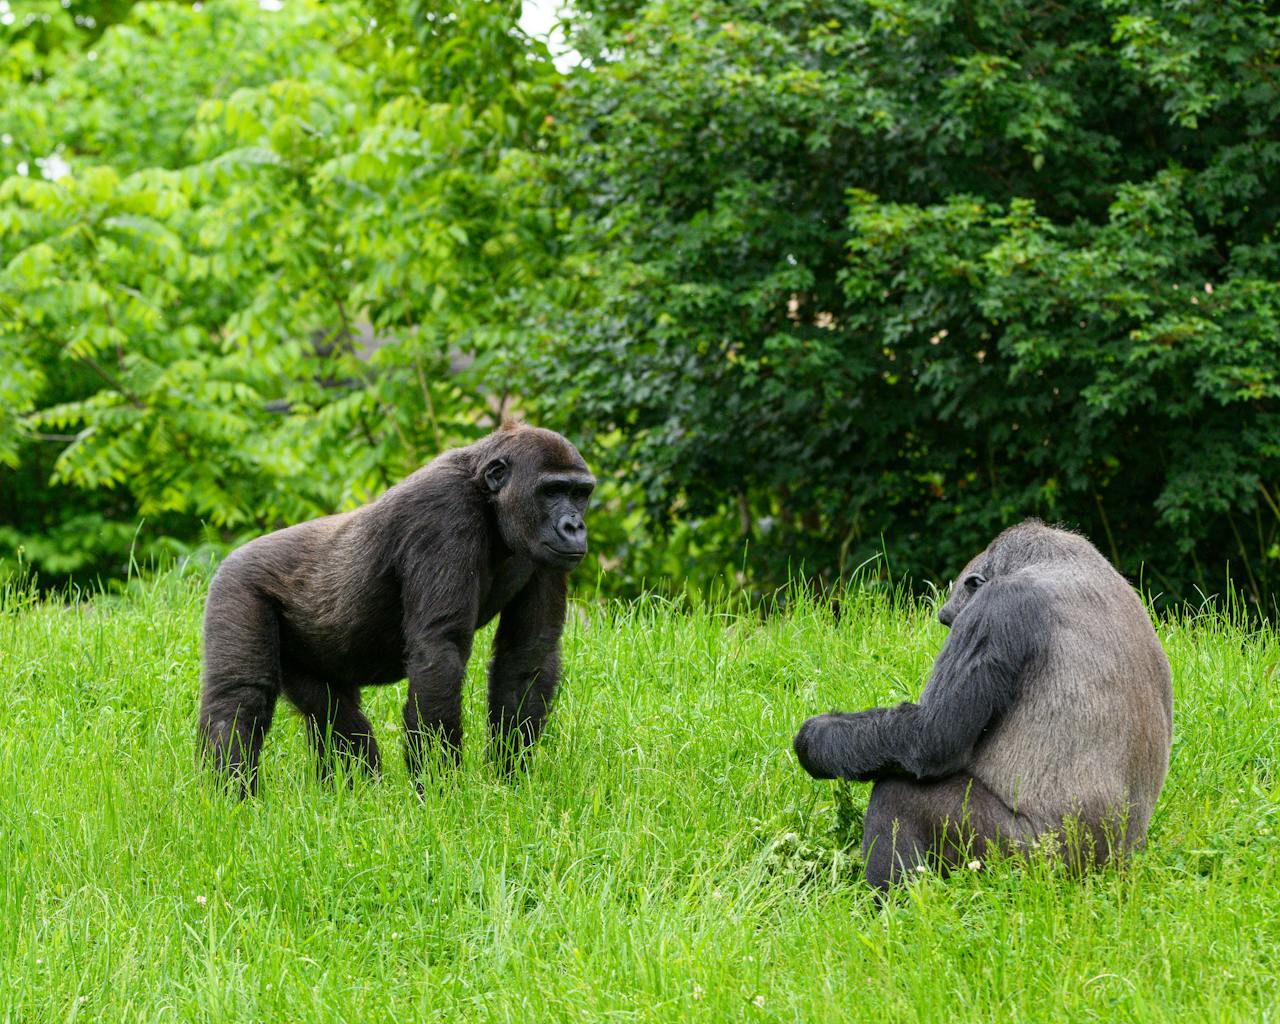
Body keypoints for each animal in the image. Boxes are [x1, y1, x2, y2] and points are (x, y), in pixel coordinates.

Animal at [198, 423, 595, 797]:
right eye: (552, 491)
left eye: (580, 493)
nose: (574, 526)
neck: (488, 499)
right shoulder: (443, 511)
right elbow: (440, 650)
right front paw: (440, 791)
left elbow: (528, 654)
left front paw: (509, 779)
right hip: (236, 586)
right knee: (240, 699)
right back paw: (231, 797)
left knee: (333, 715)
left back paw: (356, 793)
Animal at [793, 520, 1172, 891]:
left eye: (951, 622)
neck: (1058, 560)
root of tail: (1115, 867)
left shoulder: (998, 605)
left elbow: (930, 735)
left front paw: (815, 739)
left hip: (1034, 862)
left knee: (899, 794)